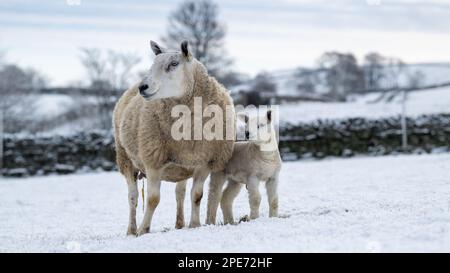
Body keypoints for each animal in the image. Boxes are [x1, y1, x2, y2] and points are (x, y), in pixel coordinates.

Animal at [112, 39, 236, 235]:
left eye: (174, 64)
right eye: (153, 64)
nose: (143, 87)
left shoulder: (203, 162)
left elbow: (197, 196)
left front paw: (195, 225)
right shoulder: (153, 162)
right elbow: (153, 199)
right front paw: (143, 230)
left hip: (183, 165)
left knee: (180, 193)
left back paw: (180, 224)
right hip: (125, 158)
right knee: (133, 197)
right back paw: (131, 230)